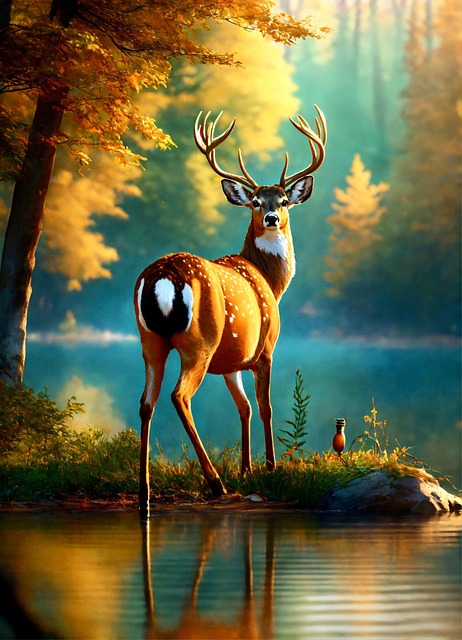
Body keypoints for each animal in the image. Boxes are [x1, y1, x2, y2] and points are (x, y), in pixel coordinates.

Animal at [134, 106, 327, 519]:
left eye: (283, 200)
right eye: (255, 201)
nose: (271, 218)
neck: (270, 283)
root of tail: (162, 276)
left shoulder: (231, 361)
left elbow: (244, 408)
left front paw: (247, 469)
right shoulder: (265, 347)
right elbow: (265, 406)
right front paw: (269, 467)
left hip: (150, 340)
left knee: (146, 403)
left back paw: (145, 493)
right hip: (199, 342)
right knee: (179, 396)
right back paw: (214, 483)